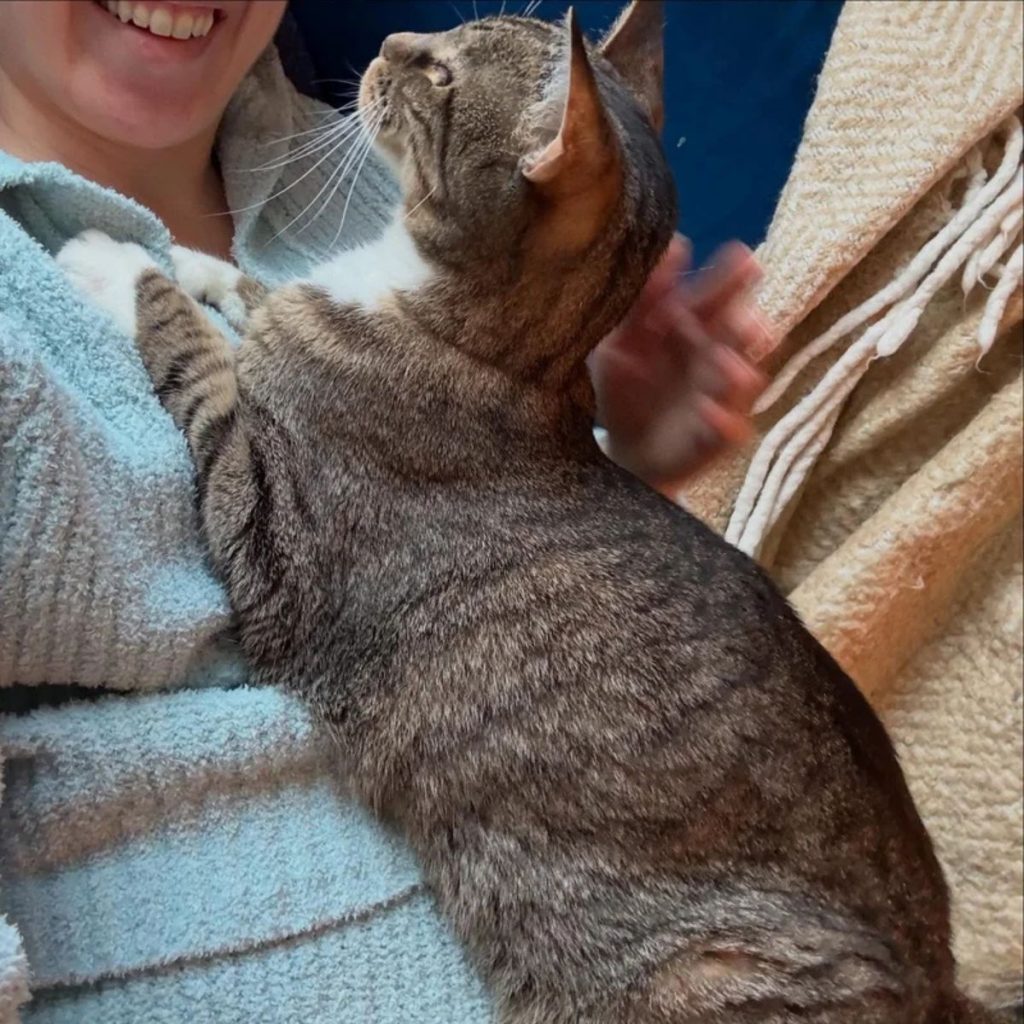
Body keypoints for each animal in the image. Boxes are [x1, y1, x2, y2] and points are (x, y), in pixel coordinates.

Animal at [58, 4, 991, 1019]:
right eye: (450, 35)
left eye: (441, 76)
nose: (388, 45)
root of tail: (943, 985)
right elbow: (246, 292)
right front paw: (188, 255)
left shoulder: (270, 539)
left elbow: (199, 361)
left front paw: (111, 260)